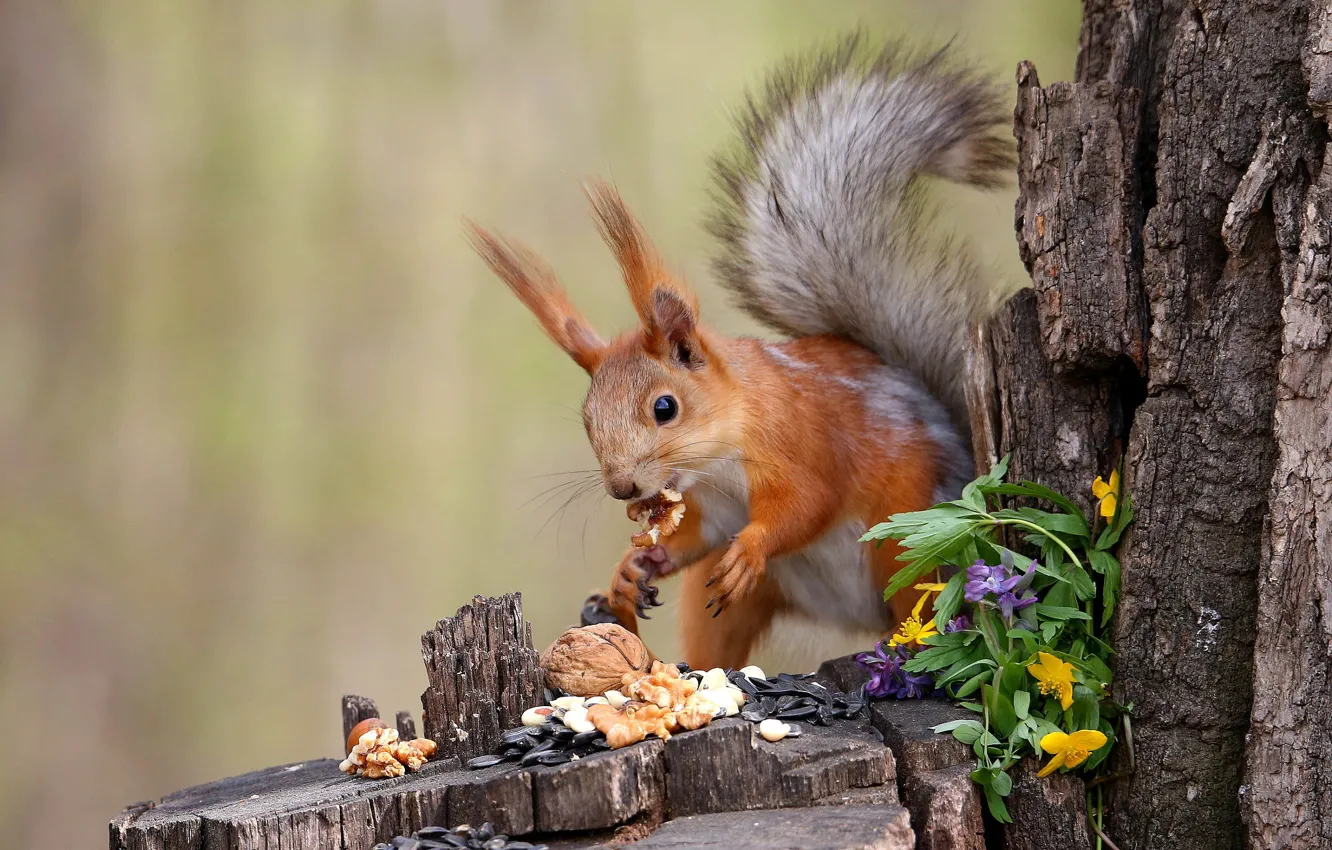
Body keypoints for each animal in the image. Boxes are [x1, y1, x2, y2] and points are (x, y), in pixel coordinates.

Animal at [466, 39, 1006, 671]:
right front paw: (632, 567)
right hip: (728, 603)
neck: (721, 456)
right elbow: (692, 538)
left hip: (907, 542)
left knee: (915, 609)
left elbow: (807, 504)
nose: (622, 489)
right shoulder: (711, 508)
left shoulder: (803, 442)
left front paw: (752, 545)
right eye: (587, 419)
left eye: (665, 408)